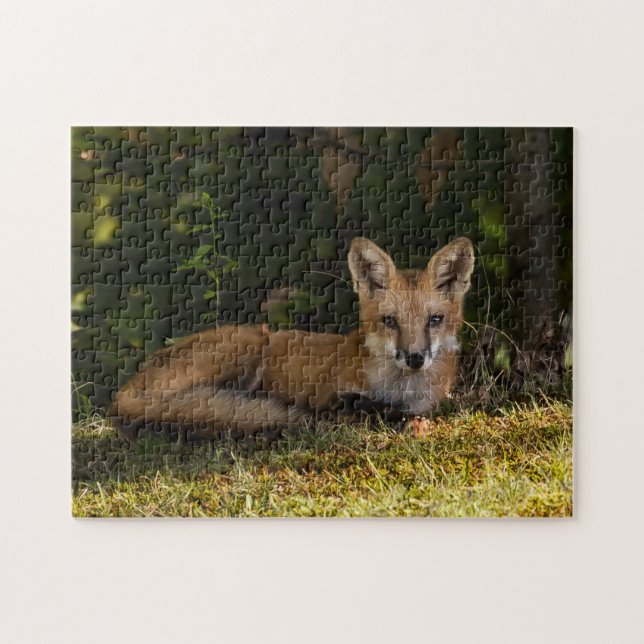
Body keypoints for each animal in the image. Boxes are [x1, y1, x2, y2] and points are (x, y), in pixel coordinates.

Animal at [109, 236, 474, 441]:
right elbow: (364, 406)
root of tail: (121, 395)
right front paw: (403, 422)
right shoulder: (331, 392)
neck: (402, 390)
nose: (415, 358)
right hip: (250, 346)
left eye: (434, 320)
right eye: (390, 321)